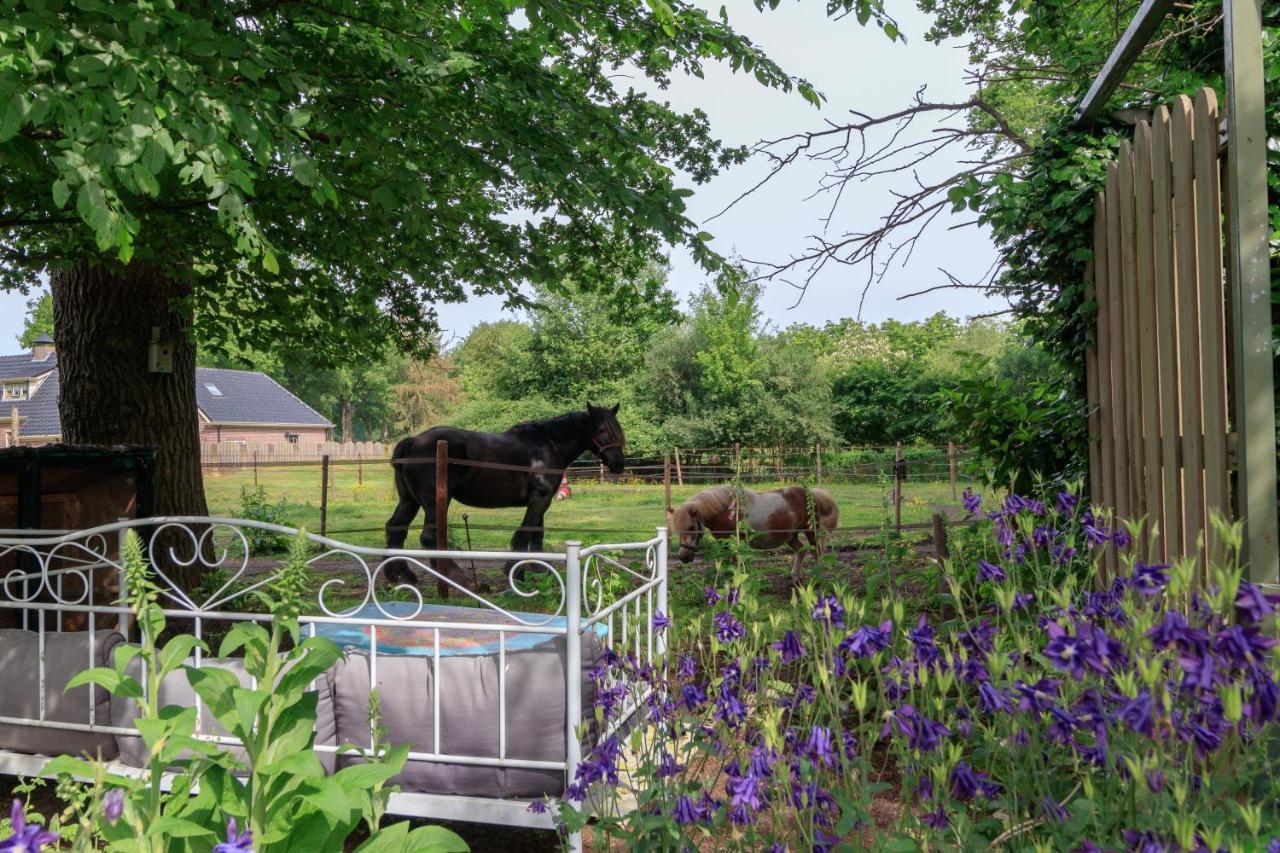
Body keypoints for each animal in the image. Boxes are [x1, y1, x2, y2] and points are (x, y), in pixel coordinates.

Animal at [381, 402, 627, 589]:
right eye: (602, 431)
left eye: (618, 430)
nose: (618, 463)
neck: (547, 445)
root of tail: (413, 441)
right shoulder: (539, 499)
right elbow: (524, 535)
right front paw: (515, 572)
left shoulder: (542, 501)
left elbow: (537, 535)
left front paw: (538, 570)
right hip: (434, 502)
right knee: (428, 538)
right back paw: (459, 577)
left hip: (409, 501)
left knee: (395, 529)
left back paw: (399, 575)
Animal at [670, 484, 839, 578]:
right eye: (678, 530)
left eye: (691, 528)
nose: (683, 557)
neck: (726, 510)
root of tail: (812, 493)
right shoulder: (725, 542)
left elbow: (737, 560)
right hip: (791, 536)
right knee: (801, 550)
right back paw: (795, 575)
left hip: (810, 531)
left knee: (816, 551)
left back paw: (817, 574)